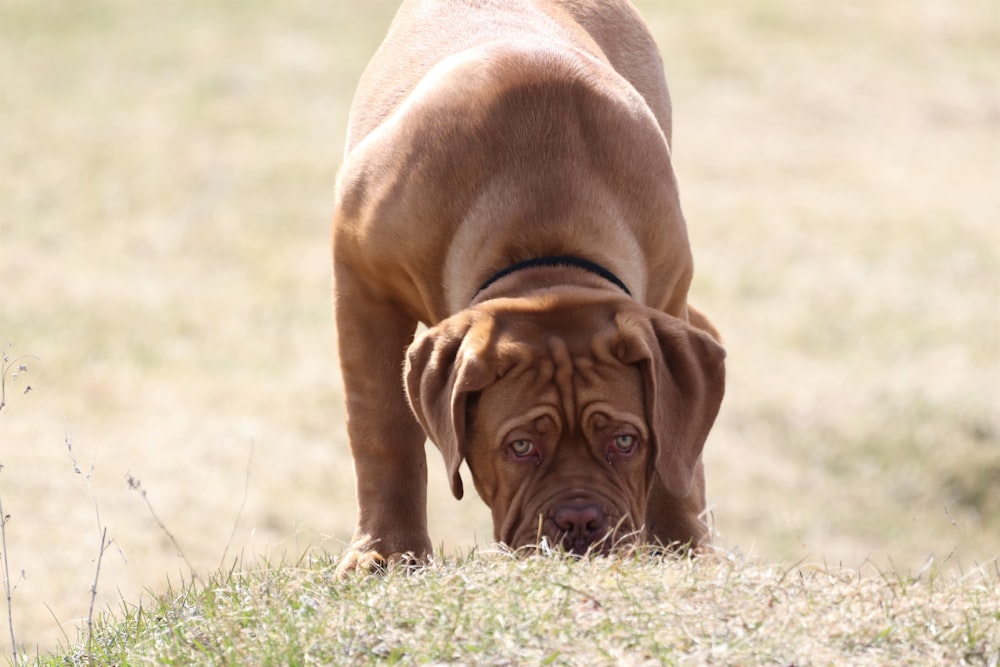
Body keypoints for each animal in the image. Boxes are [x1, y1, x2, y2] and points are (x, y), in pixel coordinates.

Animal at [332, 1, 724, 576]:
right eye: (520, 447)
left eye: (625, 441)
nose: (580, 521)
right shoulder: (362, 281)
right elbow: (384, 429)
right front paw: (388, 550)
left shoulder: (666, 295)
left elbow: (676, 443)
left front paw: (677, 545)